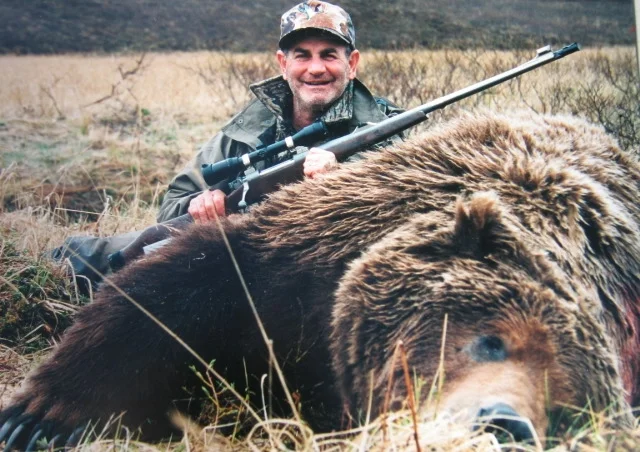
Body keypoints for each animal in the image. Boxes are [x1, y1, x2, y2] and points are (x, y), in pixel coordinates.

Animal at [1, 111, 639, 449]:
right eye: (492, 339)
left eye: (572, 411)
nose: (505, 424)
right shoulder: (301, 247)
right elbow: (156, 299)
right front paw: (35, 417)